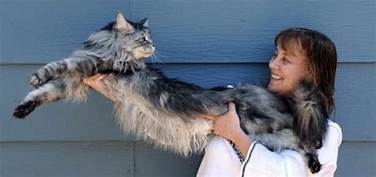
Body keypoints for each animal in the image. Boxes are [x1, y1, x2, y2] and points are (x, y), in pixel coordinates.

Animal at [13, 11, 328, 173]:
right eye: (143, 39)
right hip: (266, 136)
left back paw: (316, 161)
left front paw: (35, 75)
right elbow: (45, 93)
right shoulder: (76, 81)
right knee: (300, 143)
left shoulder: (91, 65)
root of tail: (275, 97)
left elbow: (59, 66)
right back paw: (314, 164)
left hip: (262, 124)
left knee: (306, 138)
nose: (153, 46)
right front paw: (22, 109)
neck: (108, 47)